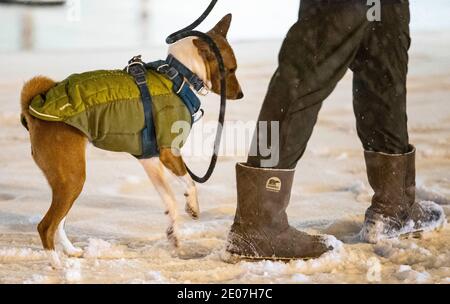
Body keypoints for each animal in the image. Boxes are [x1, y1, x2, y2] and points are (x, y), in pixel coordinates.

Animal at [18, 14, 243, 268]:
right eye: (231, 69)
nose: (241, 94)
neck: (179, 75)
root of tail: (33, 108)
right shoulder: (168, 151)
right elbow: (190, 183)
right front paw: (193, 206)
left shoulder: (150, 160)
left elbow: (170, 201)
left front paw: (173, 233)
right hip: (72, 178)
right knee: (46, 226)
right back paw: (58, 265)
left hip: (65, 181)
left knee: (59, 223)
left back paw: (71, 251)